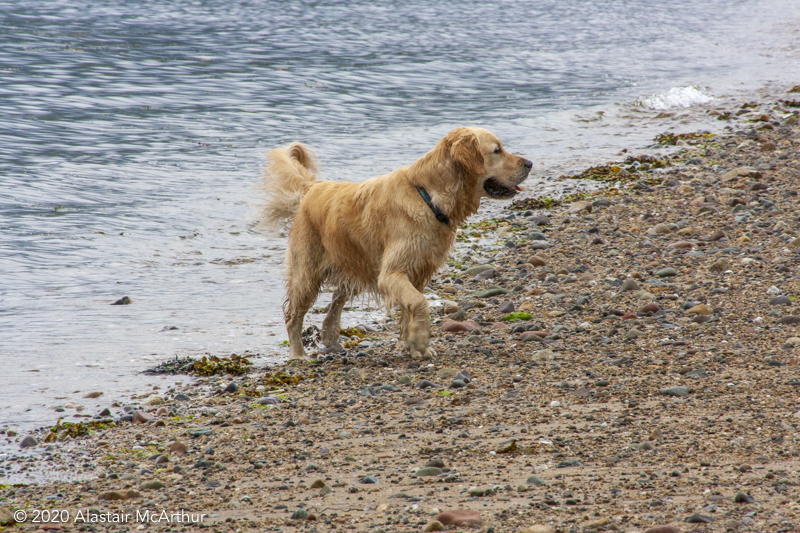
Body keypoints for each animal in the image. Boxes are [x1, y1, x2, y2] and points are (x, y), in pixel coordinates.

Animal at [262, 127, 536, 360]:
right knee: (293, 315)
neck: (429, 197)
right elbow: (420, 303)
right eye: (497, 150)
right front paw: (421, 340)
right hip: (307, 272)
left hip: (358, 261)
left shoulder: (417, 271)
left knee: (338, 297)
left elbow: (410, 307)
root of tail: (313, 187)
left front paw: (410, 344)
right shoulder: (393, 273)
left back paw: (329, 335)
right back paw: (298, 355)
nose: (530, 163)